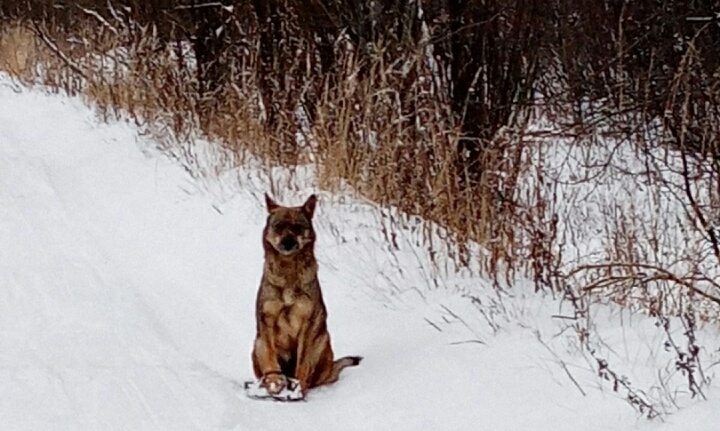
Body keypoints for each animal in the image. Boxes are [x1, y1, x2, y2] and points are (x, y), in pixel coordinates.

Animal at [252, 194, 362, 400]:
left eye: (297, 227)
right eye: (278, 226)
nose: (287, 243)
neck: (288, 272)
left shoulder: (307, 324)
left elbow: (302, 365)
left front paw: (297, 391)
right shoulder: (267, 321)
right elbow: (271, 360)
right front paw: (274, 384)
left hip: (322, 340)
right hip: (257, 344)